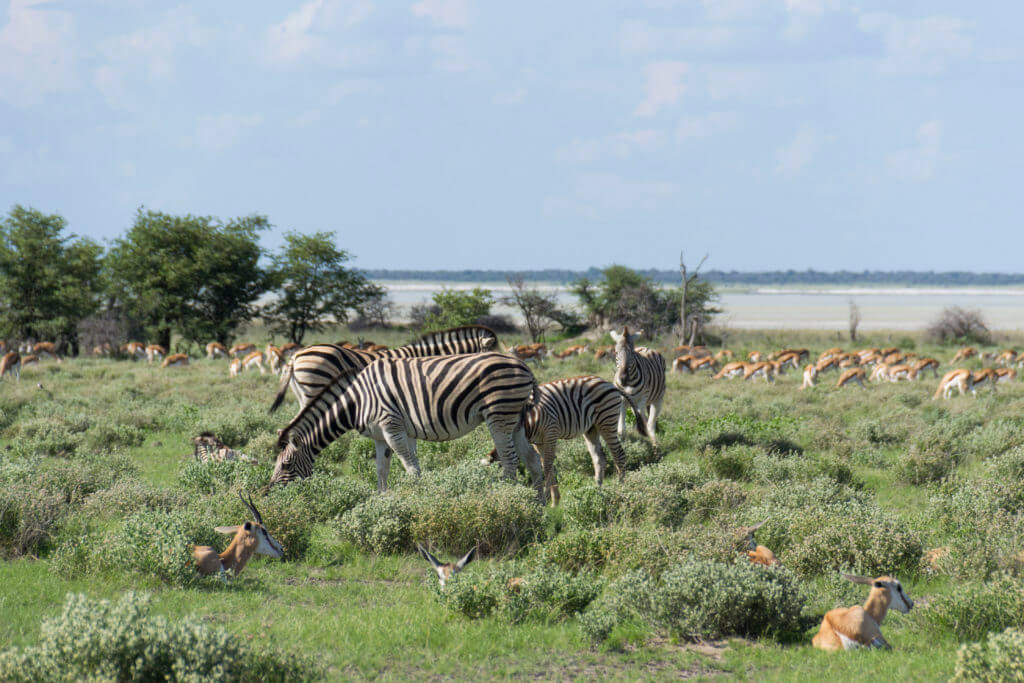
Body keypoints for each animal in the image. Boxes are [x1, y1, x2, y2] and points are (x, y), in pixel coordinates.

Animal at [481, 376, 647, 505]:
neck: (528, 421)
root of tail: (610, 384)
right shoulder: (538, 443)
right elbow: (548, 466)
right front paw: (554, 499)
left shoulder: (550, 434)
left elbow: (547, 467)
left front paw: (549, 499)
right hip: (591, 428)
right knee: (599, 458)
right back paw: (597, 491)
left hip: (607, 421)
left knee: (619, 454)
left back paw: (620, 487)